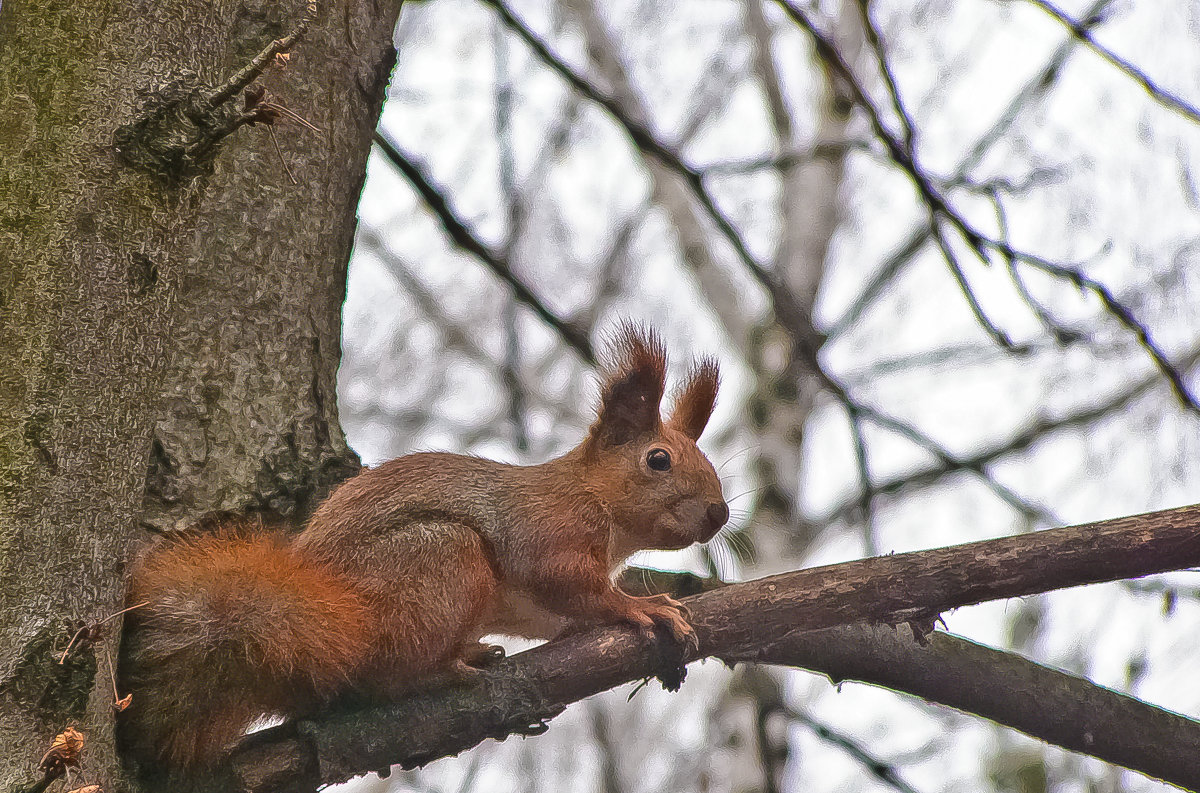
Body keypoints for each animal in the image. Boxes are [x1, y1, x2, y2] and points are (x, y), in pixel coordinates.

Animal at [117, 323, 724, 772]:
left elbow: (558, 617)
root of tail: (329, 632)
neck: (597, 501)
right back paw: (446, 669)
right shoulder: (549, 528)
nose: (718, 514)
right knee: (384, 678)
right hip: (441, 559)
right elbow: (567, 583)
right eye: (658, 460)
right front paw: (643, 606)